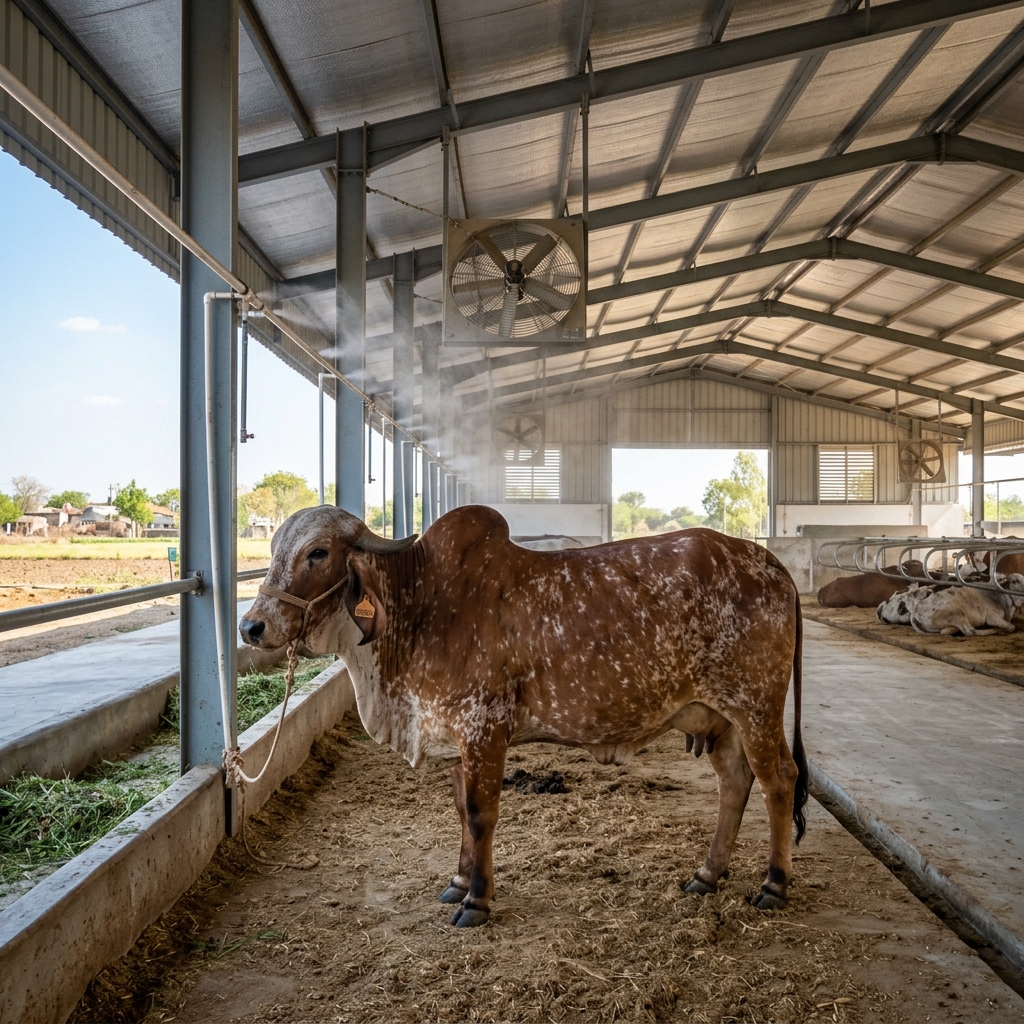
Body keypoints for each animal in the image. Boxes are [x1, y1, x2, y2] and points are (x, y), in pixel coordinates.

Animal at [239, 505, 808, 928]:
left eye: (317, 552)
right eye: (273, 549)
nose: (251, 626)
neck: (419, 605)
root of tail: (771, 564)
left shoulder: (484, 729)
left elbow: (480, 813)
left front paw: (478, 900)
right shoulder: (456, 737)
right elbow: (459, 810)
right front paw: (458, 882)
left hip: (755, 707)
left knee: (779, 780)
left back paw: (774, 884)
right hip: (720, 717)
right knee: (735, 782)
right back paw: (708, 874)